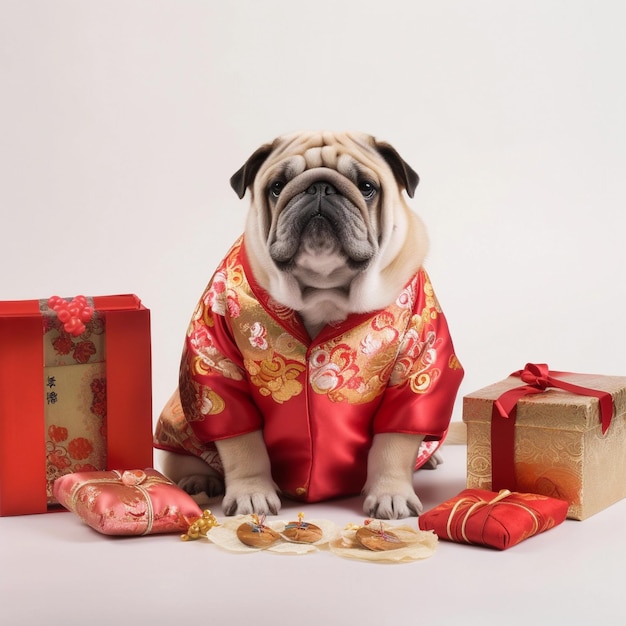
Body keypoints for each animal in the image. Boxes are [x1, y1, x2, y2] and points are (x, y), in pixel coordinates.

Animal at [154, 130, 460, 516]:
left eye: (367, 187)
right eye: (277, 186)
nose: (320, 188)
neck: (323, 292)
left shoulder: (417, 364)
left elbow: (394, 443)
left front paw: (390, 493)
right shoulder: (218, 362)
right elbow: (242, 444)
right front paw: (251, 492)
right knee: (187, 455)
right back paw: (199, 478)